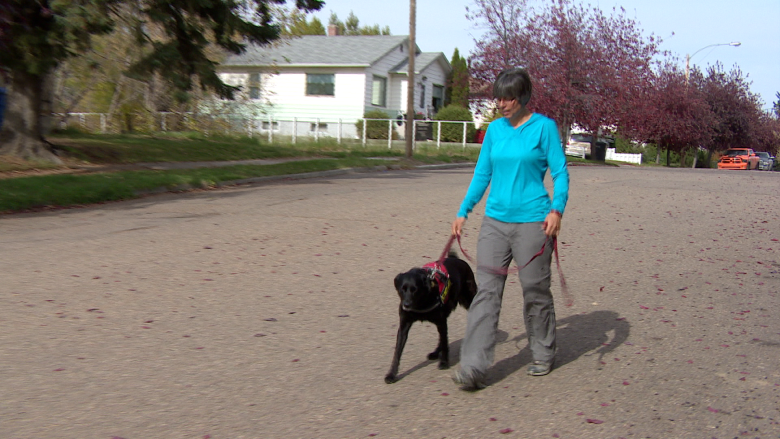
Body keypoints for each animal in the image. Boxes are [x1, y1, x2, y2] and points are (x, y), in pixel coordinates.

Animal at [384, 254, 476, 384]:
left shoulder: (441, 321)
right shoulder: (403, 327)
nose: (406, 305)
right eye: (403, 289)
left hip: (469, 300)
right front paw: (391, 374)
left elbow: (445, 342)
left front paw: (444, 362)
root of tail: (457, 259)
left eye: (415, 289)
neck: (420, 303)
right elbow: (397, 353)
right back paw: (435, 352)